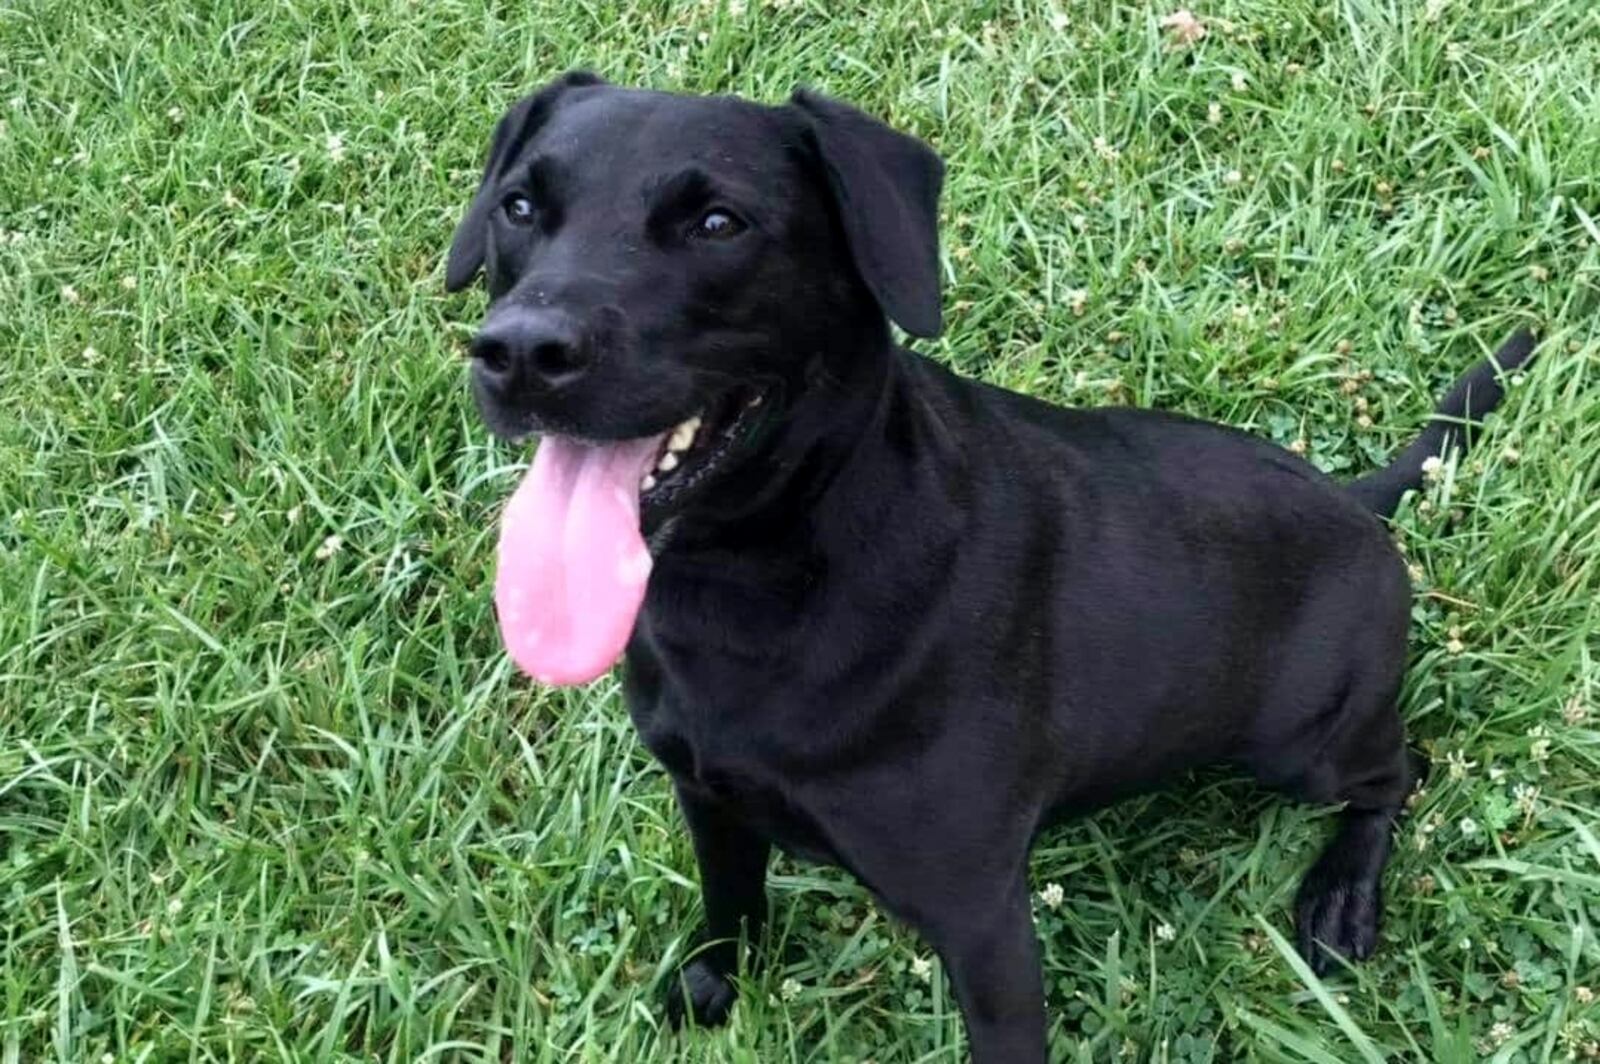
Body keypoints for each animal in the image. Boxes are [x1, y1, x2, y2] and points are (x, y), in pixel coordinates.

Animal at [448, 72, 1536, 1056]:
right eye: (519, 207)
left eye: (718, 222)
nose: (519, 352)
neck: (760, 583)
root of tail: (1351, 499)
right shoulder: (708, 799)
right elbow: (731, 906)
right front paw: (715, 986)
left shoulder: (980, 915)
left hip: (1305, 743)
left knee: (1398, 772)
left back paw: (1345, 890)